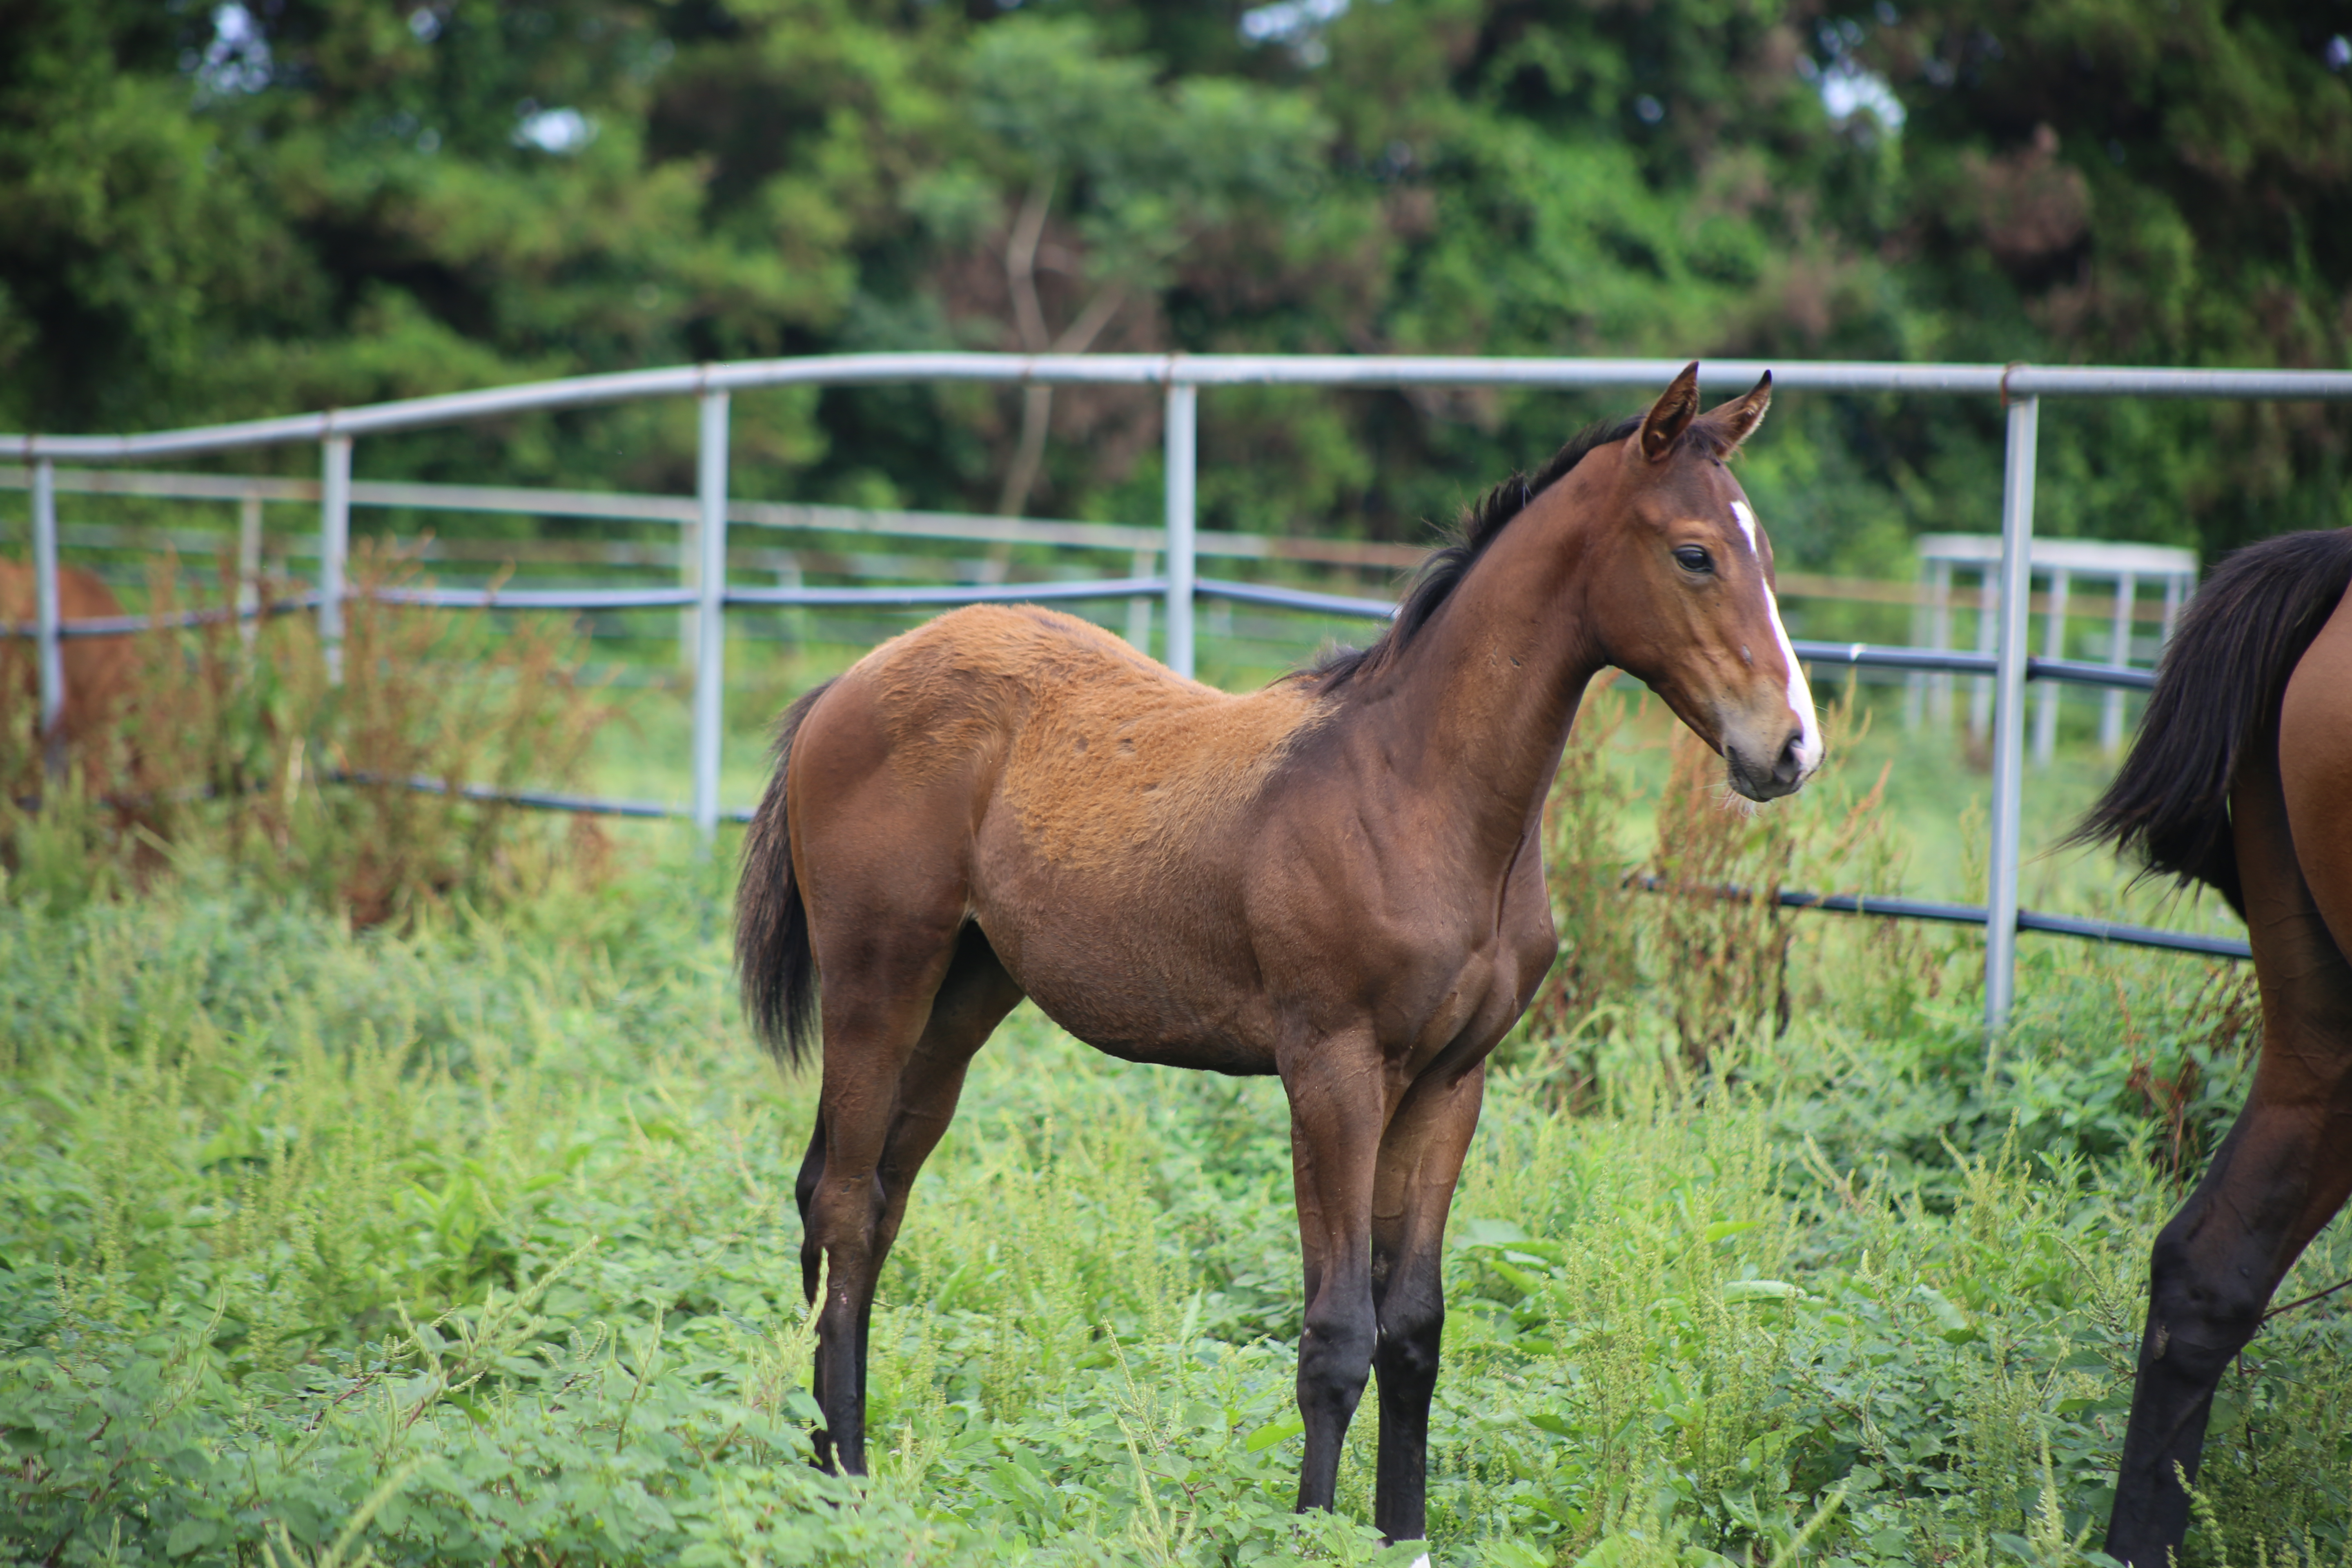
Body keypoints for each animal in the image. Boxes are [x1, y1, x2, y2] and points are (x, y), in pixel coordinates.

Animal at [734, 359, 1815, 1542]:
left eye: (1764, 552)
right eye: (1694, 553)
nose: (1790, 746)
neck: (1415, 790)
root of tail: (846, 683)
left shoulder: (1450, 1083)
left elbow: (1414, 1326)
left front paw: (1400, 1537)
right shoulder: (1331, 1071)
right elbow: (1336, 1332)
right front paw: (1311, 1533)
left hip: (966, 997)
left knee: (869, 1196)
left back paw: (827, 1457)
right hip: (880, 976)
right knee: (844, 1203)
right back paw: (845, 1480)